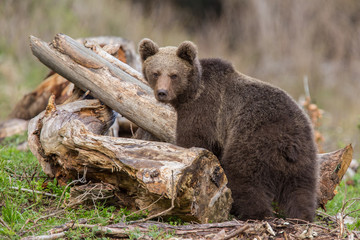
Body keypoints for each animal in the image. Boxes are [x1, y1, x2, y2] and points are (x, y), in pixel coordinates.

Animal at [138, 38, 318, 221]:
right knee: (301, 188)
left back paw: (254, 213)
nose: (162, 92)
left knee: (245, 176)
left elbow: (193, 140)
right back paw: (303, 216)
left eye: (174, 75)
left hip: (252, 138)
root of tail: (286, 142)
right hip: (303, 152)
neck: (191, 93)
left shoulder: (203, 112)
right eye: (155, 73)